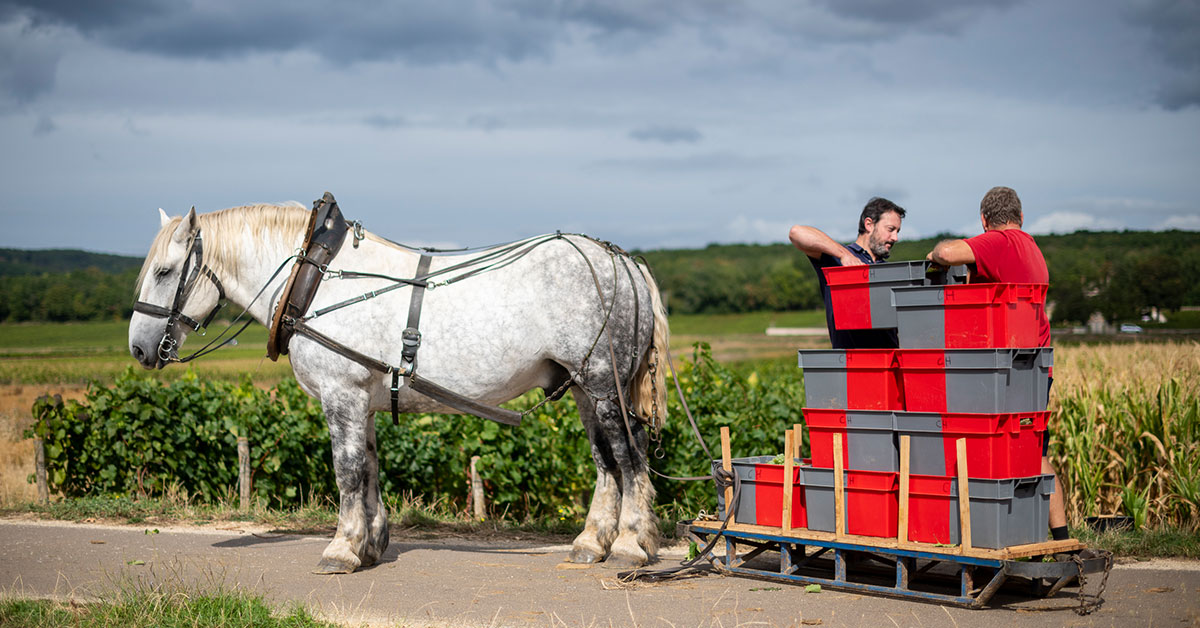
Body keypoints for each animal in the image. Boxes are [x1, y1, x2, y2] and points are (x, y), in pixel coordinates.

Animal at [131, 202, 676, 573]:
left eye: (164, 271)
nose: (138, 348)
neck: (317, 280)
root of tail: (622, 260)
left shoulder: (341, 394)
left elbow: (346, 470)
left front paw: (342, 547)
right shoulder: (361, 400)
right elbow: (369, 468)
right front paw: (369, 545)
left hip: (605, 385)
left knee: (629, 456)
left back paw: (630, 545)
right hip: (584, 386)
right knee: (606, 461)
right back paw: (592, 543)